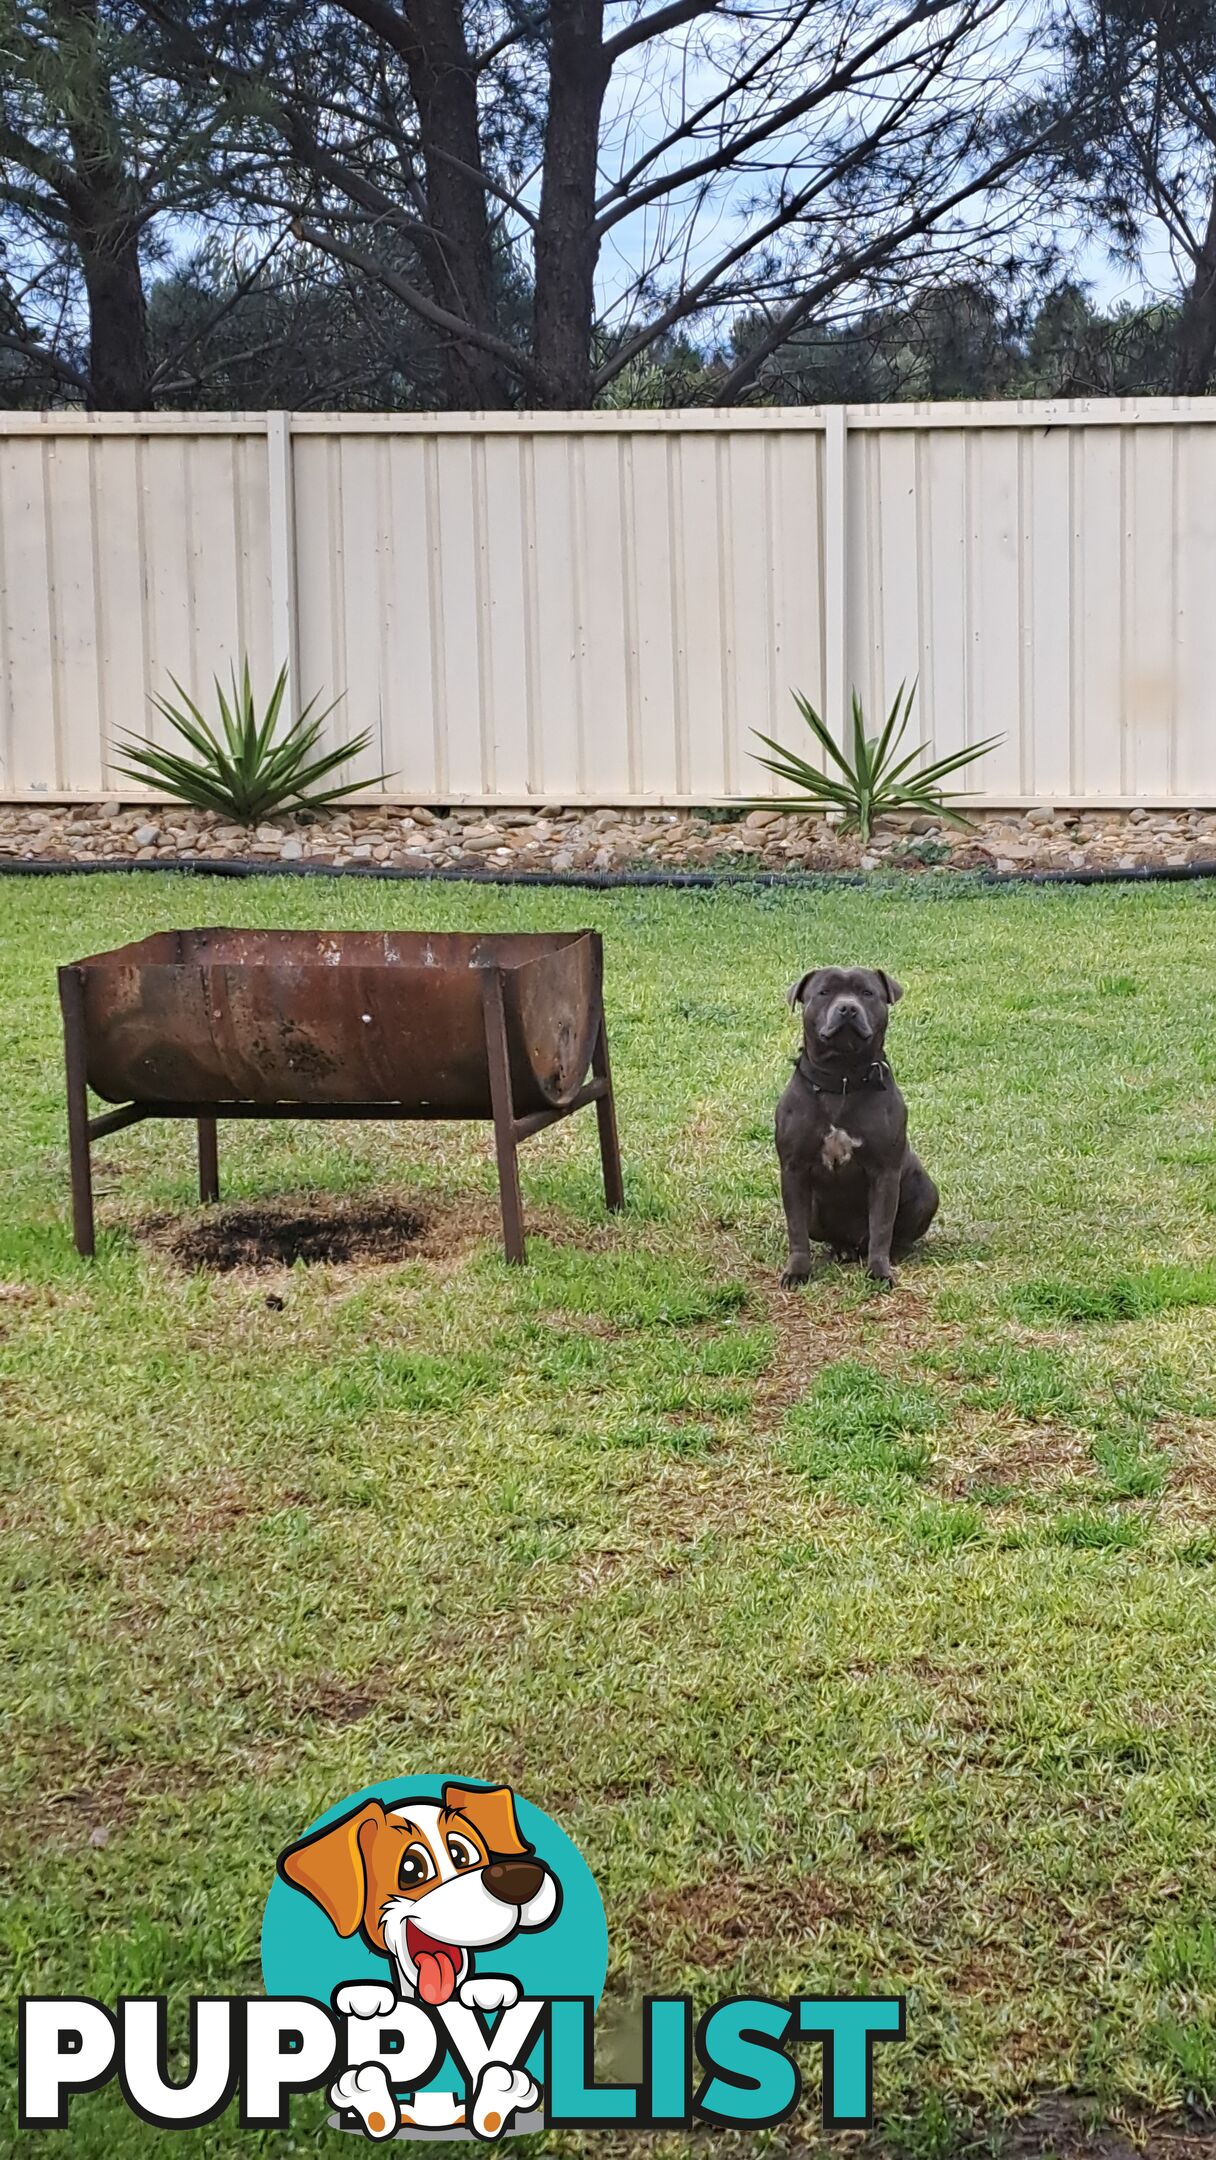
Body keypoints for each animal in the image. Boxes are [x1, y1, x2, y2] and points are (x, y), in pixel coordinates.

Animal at [777, 972, 937, 1287]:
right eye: (824, 992)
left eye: (867, 993)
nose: (848, 1008)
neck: (842, 1078)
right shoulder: (793, 1169)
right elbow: (796, 1229)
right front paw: (797, 1271)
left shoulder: (885, 1172)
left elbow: (882, 1226)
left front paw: (880, 1271)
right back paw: (841, 1250)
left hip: (926, 1192)